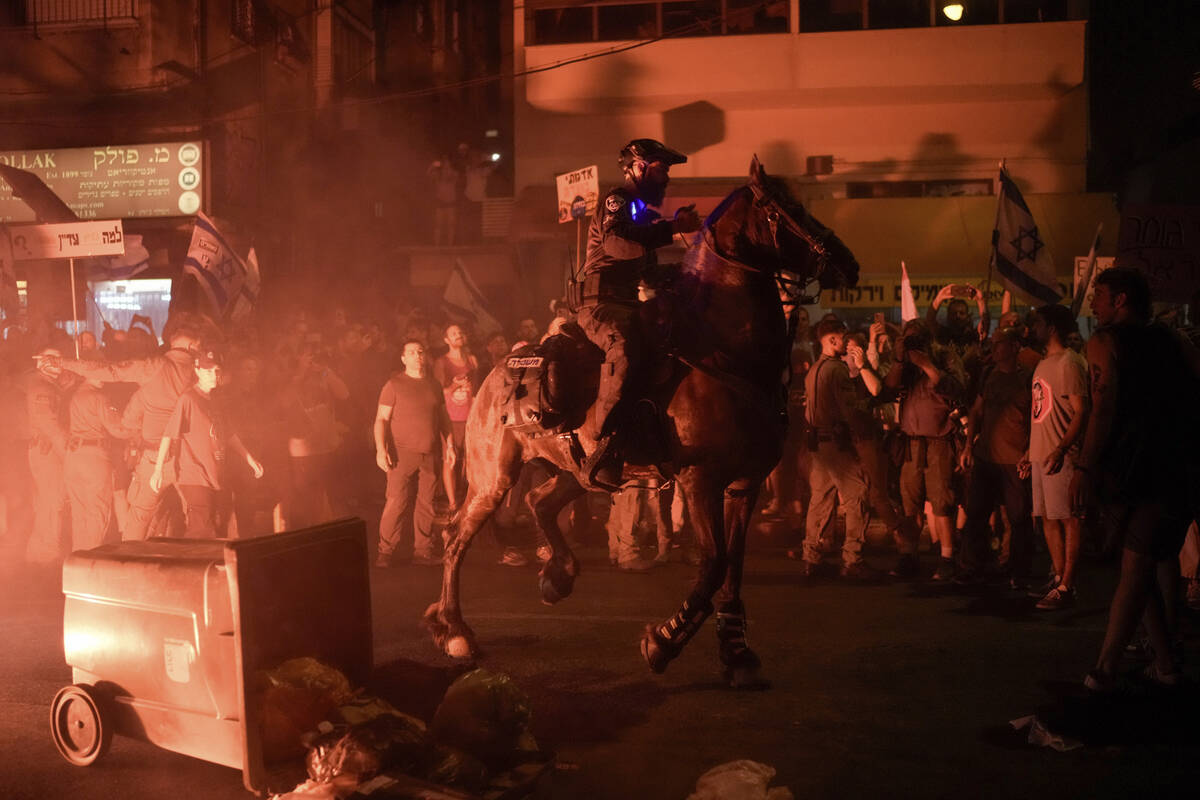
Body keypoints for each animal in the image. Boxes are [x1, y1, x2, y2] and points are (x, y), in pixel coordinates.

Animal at [422, 158, 854, 690]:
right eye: (785, 207)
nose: (848, 263)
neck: (724, 352)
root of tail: (495, 374)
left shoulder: (744, 484)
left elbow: (732, 568)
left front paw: (737, 653)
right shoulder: (700, 480)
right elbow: (713, 565)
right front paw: (663, 642)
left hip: (577, 472)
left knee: (540, 501)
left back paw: (558, 575)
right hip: (492, 477)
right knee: (457, 536)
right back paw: (456, 631)